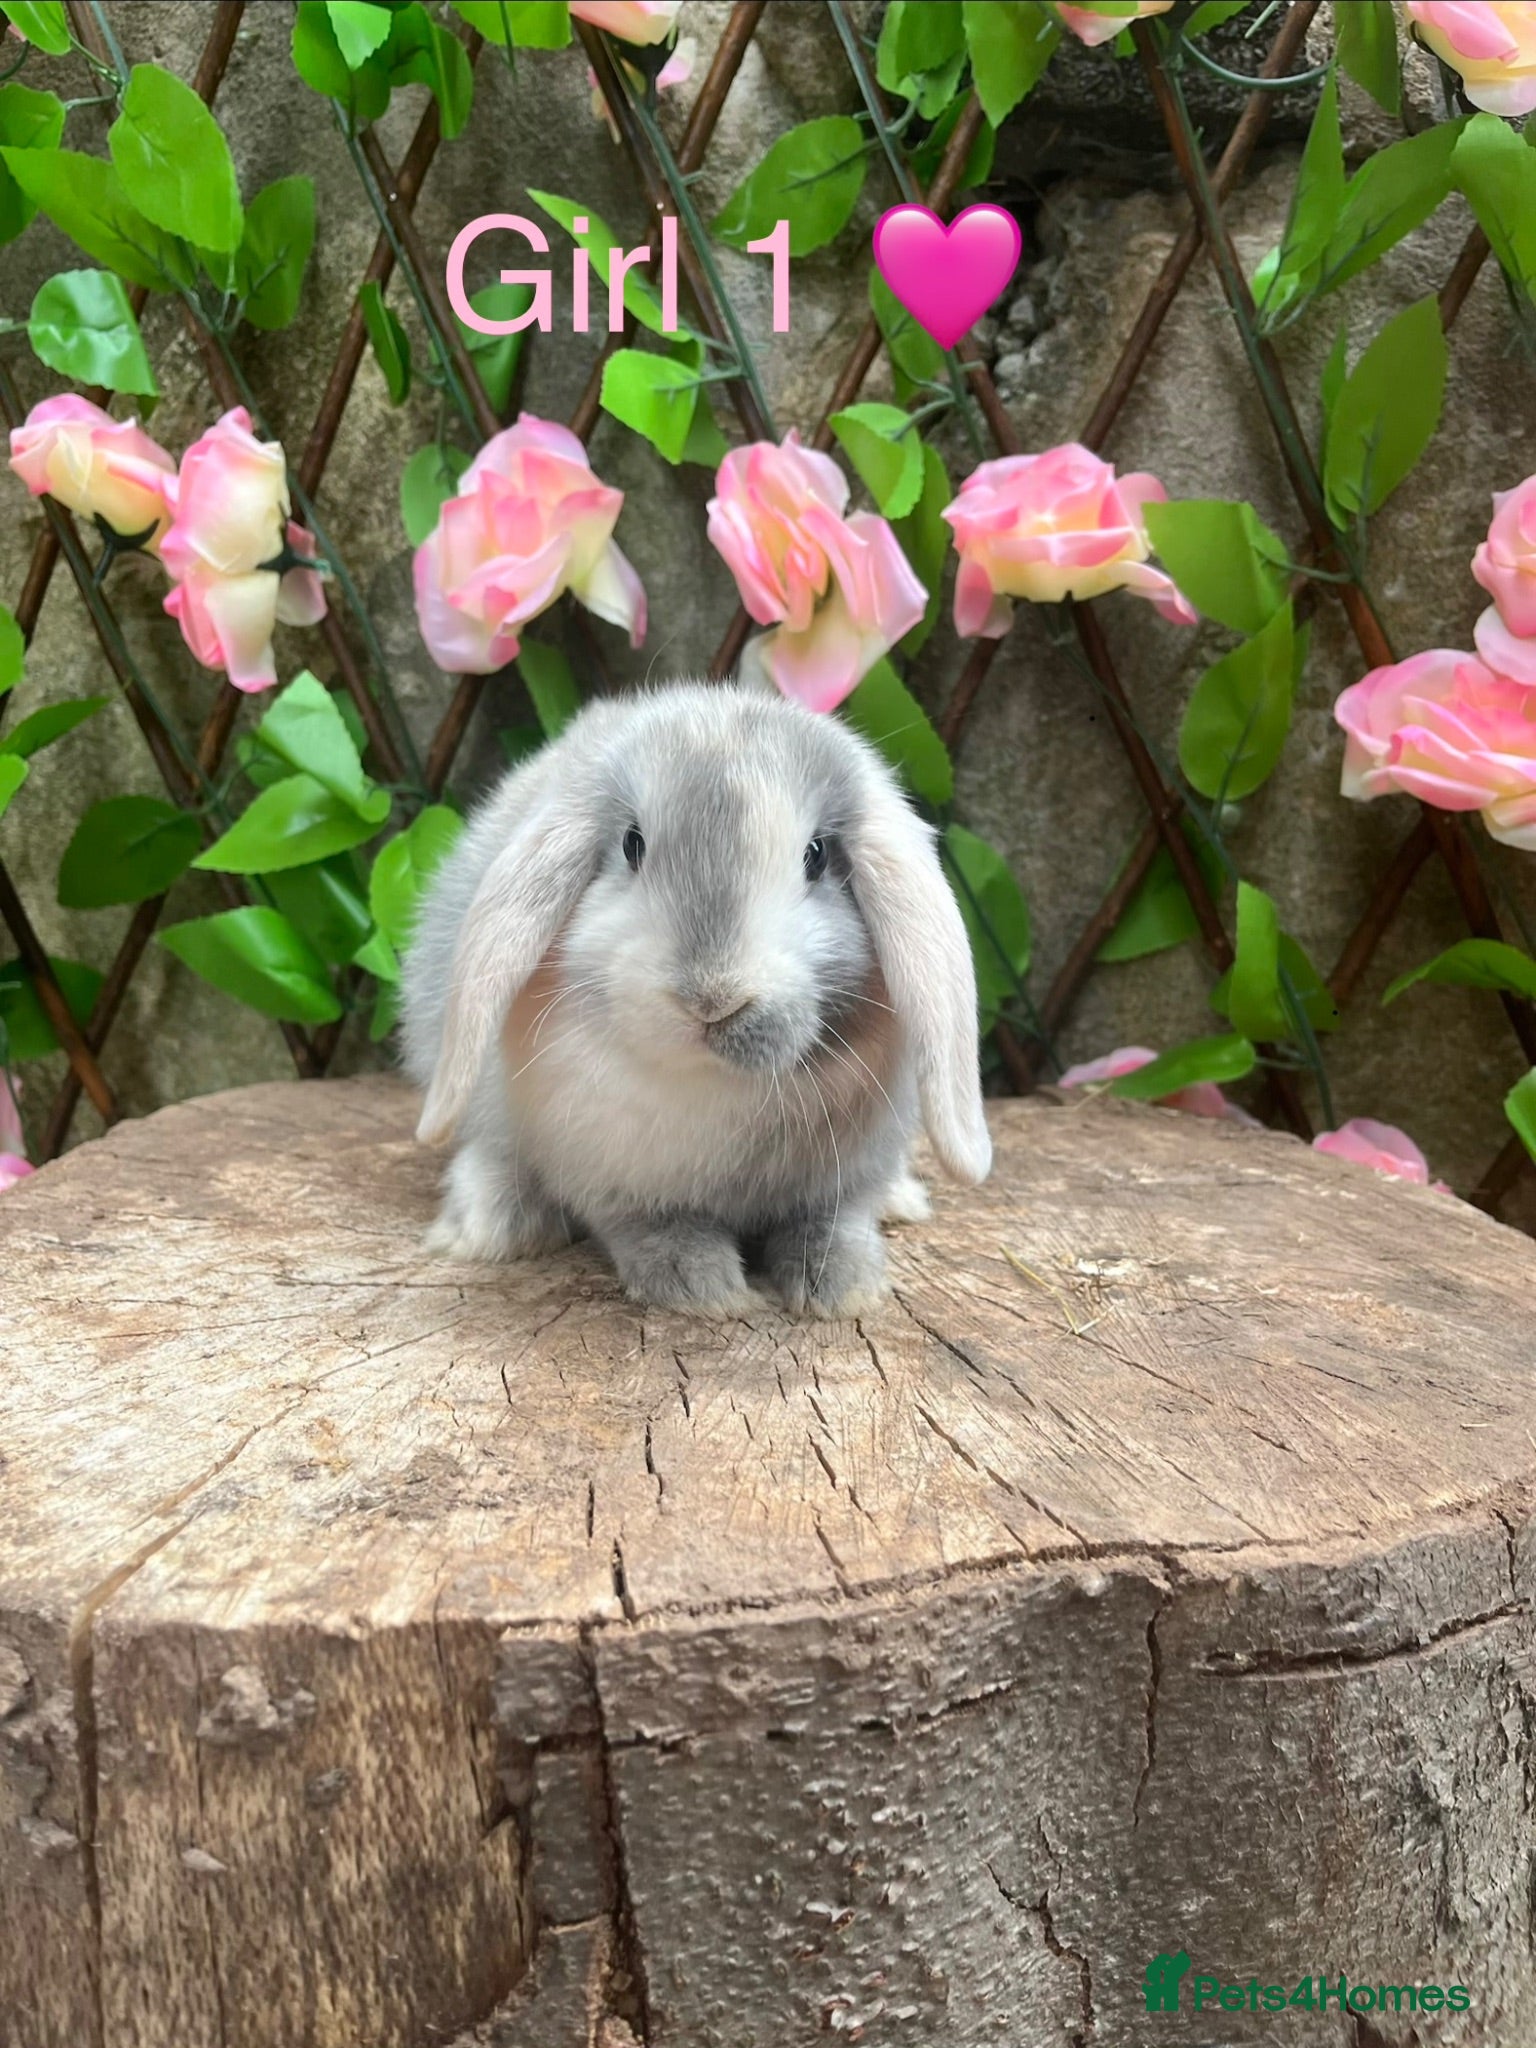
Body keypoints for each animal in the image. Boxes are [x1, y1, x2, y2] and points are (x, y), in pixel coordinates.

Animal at [401, 681, 991, 1316]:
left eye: (816, 855)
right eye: (632, 844)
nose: (713, 999)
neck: (715, 1086)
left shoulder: (849, 1175)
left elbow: (833, 1222)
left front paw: (843, 1286)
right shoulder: (607, 1175)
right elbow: (652, 1226)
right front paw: (701, 1286)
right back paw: (489, 1224)